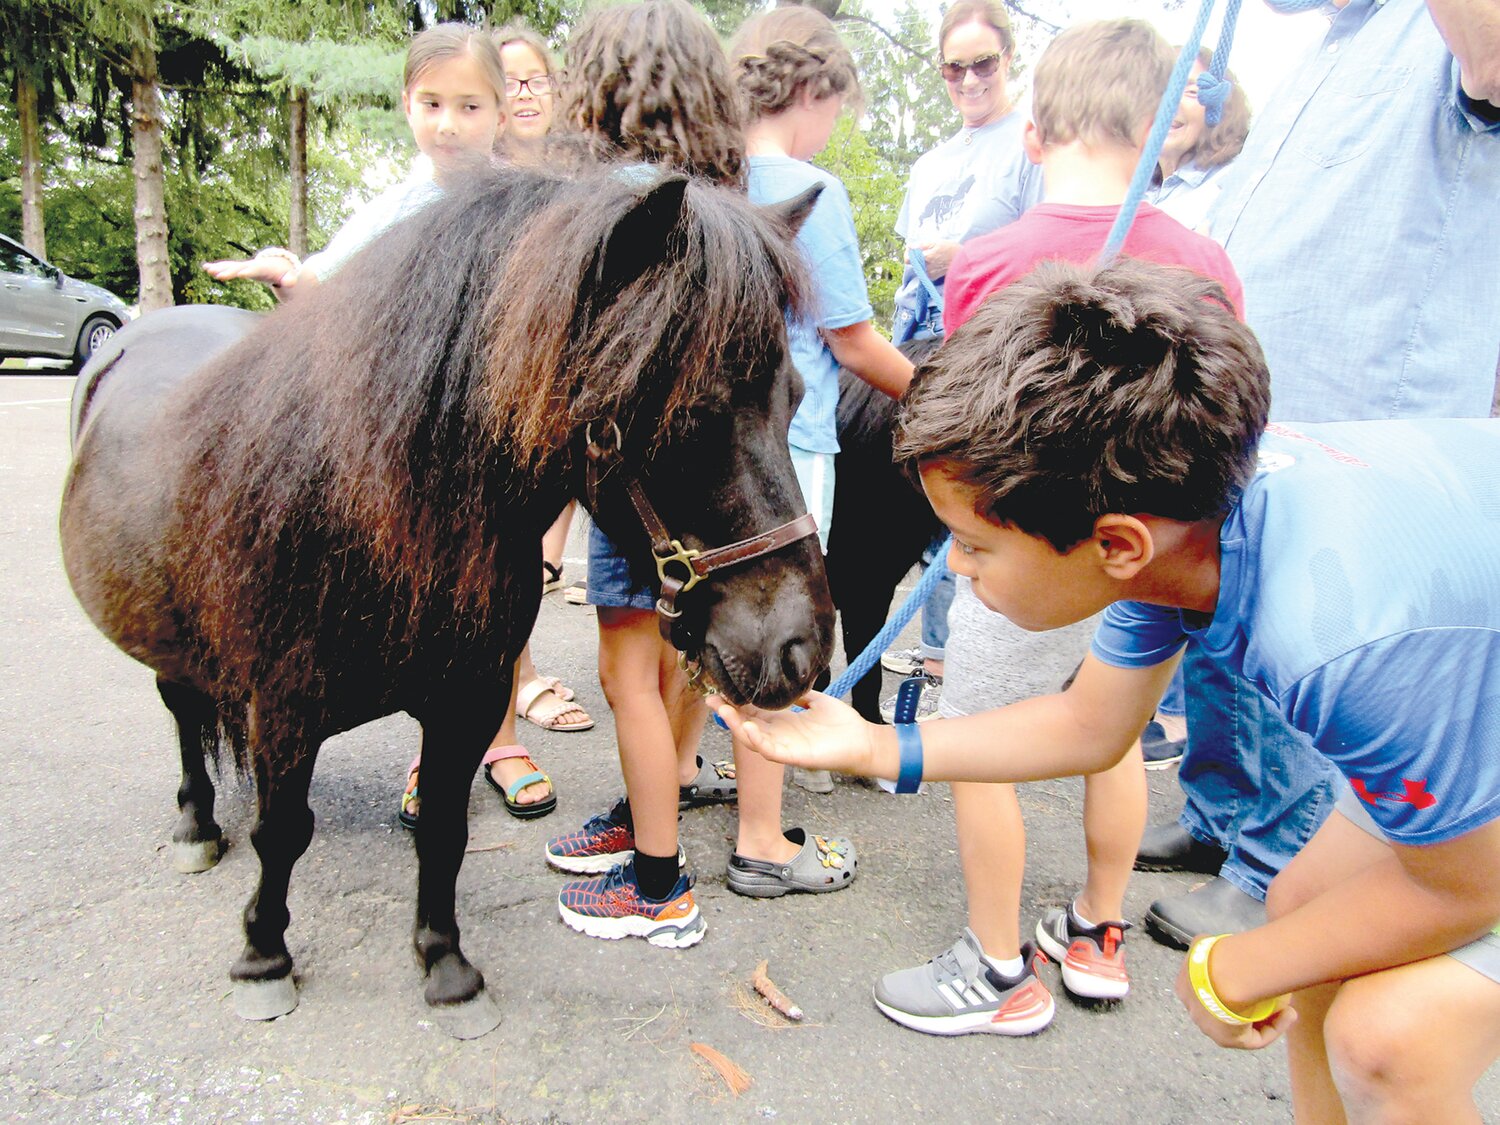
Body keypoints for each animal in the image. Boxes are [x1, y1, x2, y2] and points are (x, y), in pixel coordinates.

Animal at [58, 167, 834, 1038]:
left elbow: (443, 831)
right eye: (690, 409)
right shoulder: (284, 705)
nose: (801, 649)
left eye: (795, 395)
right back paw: (195, 823)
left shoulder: (467, 698)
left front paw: (446, 964)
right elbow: (281, 831)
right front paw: (263, 956)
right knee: (182, 710)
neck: (355, 501)